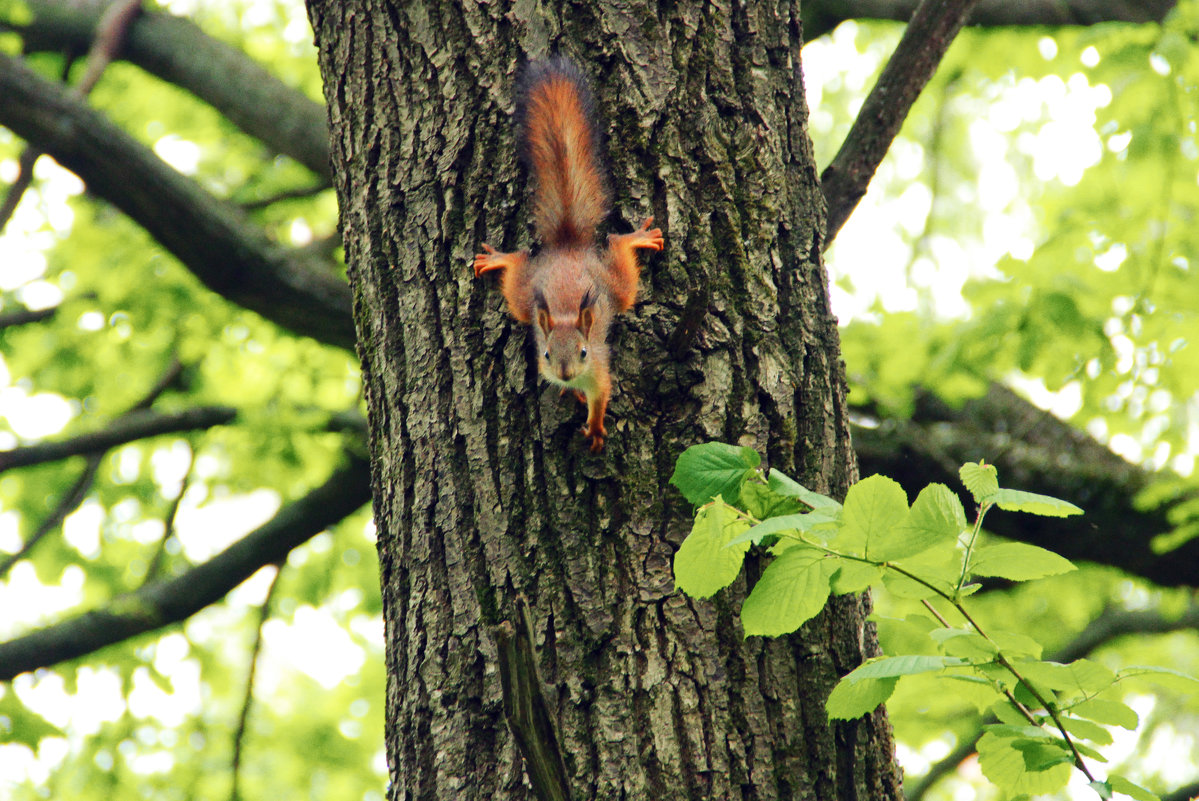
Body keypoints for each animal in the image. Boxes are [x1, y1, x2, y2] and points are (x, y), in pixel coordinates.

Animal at [472, 57, 666, 450]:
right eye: (545, 354)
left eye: (583, 352)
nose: (563, 373)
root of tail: (568, 247)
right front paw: (575, 398)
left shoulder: (600, 369)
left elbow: (601, 397)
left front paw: (595, 428)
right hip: (524, 296)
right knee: (520, 263)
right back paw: (500, 258)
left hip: (614, 286)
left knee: (618, 252)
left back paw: (635, 238)